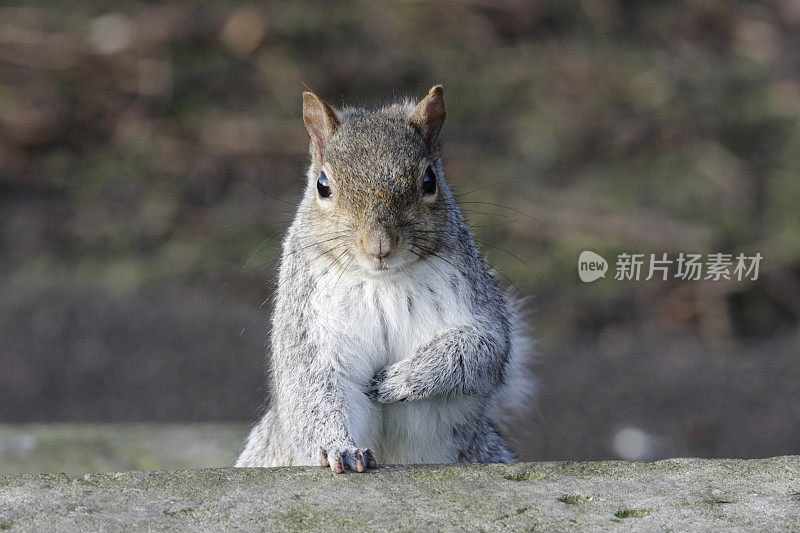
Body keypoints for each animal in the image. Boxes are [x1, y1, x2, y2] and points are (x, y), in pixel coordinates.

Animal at [234, 85, 536, 472]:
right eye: (322, 185)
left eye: (429, 181)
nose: (379, 246)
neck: (382, 281)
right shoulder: (308, 326)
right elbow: (313, 389)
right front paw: (340, 449)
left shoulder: (475, 301)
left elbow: (480, 350)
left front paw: (399, 380)